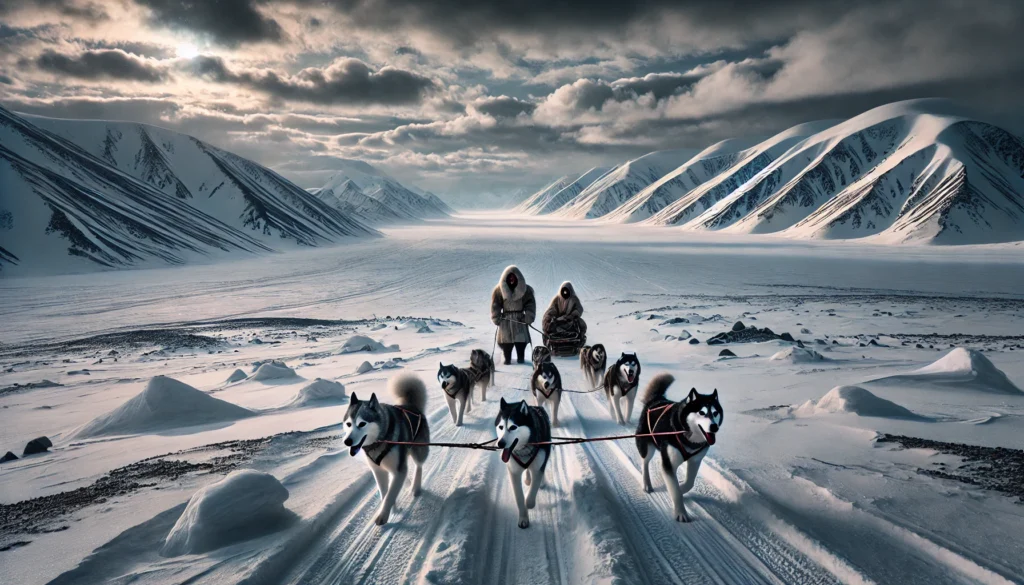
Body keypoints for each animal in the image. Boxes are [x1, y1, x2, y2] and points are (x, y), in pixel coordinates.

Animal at [339, 374, 428, 524]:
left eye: (362, 424)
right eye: (349, 424)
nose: (347, 441)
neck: (380, 439)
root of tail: (411, 405)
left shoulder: (398, 469)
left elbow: (390, 494)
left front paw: (383, 515)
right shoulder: (378, 471)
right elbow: (385, 493)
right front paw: (393, 509)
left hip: (418, 451)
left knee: (418, 466)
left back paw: (415, 487)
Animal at [495, 397, 552, 532]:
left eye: (513, 427)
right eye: (501, 427)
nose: (500, 444)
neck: (523, 450)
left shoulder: (537, 469)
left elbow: (531, 495)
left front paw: (528, 502)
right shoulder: (514, 473)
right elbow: (519, 498)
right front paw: (523, 518)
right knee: (527, 470)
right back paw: (527, 479)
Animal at [630, 374, 720, 522]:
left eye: (716, 412)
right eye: (701, 412)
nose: (714, 427)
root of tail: (656, 400)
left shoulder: (695, 460)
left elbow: (689, 483)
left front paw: (681, 487)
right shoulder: (668, 464)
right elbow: (675, 490)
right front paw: (681, 513)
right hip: (647, 447)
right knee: (645, 462)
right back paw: (647, 483)